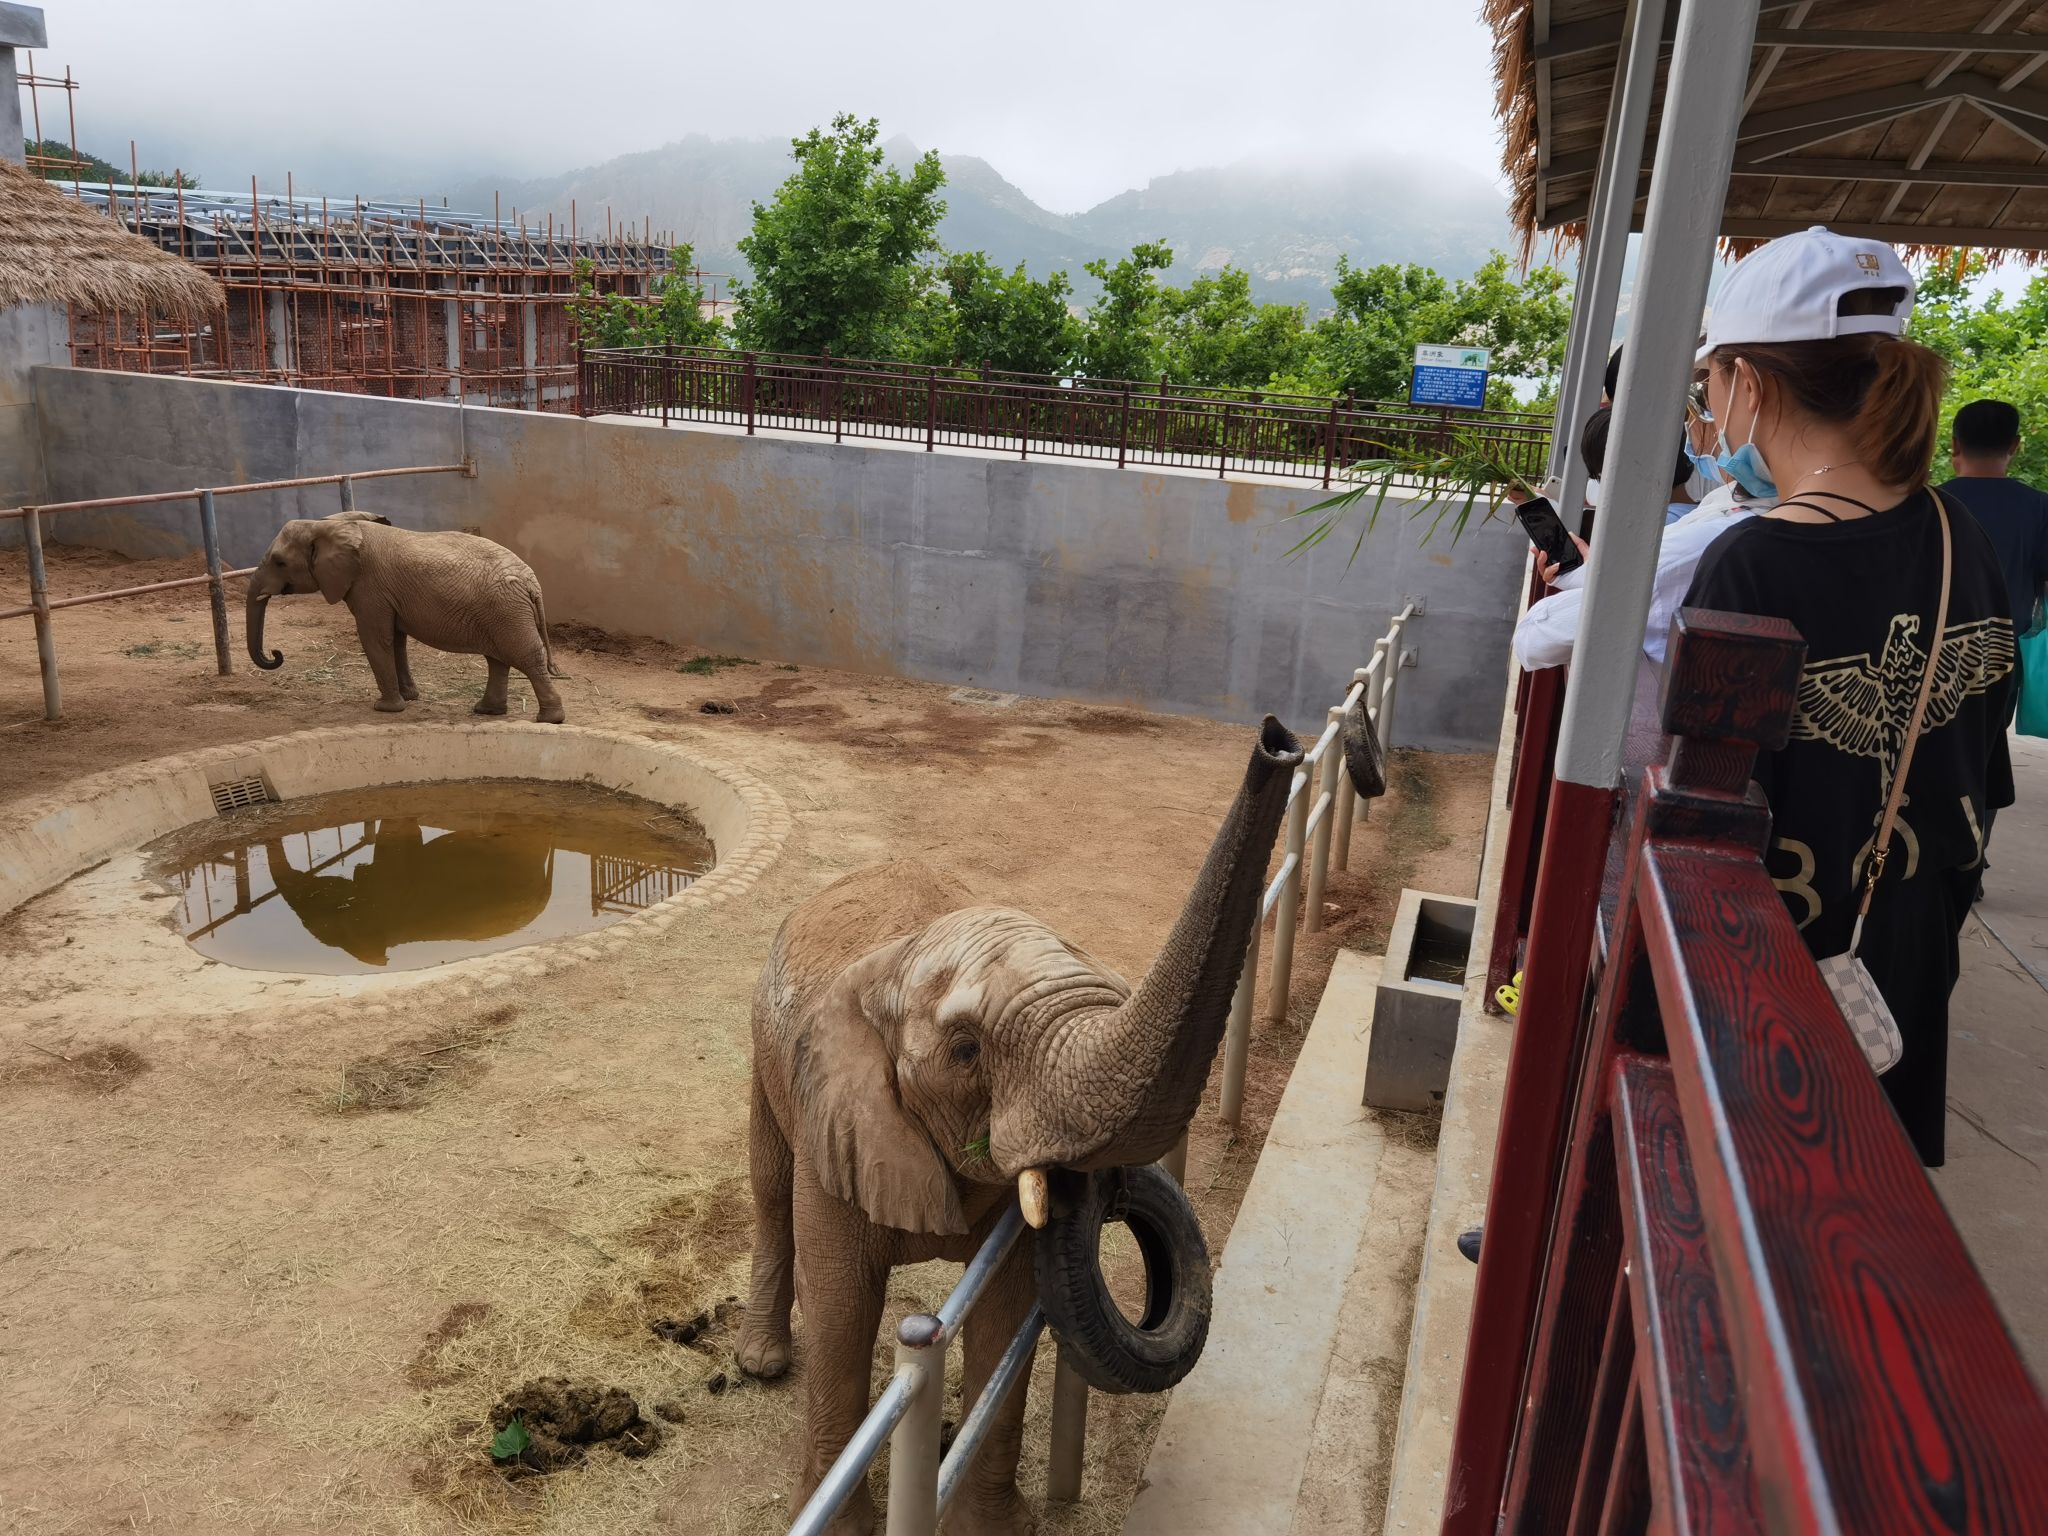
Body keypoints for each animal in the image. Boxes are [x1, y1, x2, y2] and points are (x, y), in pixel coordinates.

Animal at [247, 514, 569, 724]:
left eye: (279, 562)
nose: (276, 653)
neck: (331, 524)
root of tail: (532, 583)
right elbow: (396, 640)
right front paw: (410, 698)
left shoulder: (369, 588)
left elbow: (376, 639)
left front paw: (385, 708)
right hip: (501, 612)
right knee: (498, 659)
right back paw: (486, 711)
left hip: (506, 611)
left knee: (525, 657)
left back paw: (549, 720)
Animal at [745, 720, 1302, 1536]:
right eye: (965, 1050)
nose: (1278, 740)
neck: (902, 951)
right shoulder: (840, 1126)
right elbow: (843, 1309)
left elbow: (1007, 1314)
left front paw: (995, 1528)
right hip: (762, 1045)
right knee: (768, 1186)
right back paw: (759, 1362)